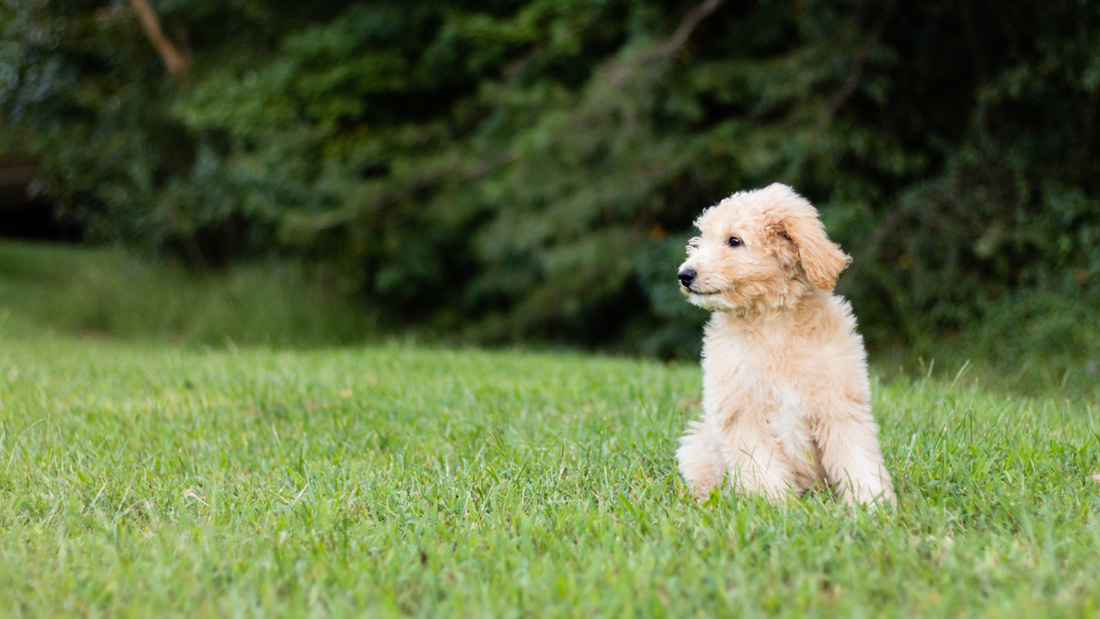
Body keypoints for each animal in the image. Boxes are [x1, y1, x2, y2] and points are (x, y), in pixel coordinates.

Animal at [673, 183, 897, 507]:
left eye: (734, 241)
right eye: (703, 239)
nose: (685, 275)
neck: (772, 323)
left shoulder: (838, 404)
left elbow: (856, 456)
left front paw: (872, 502)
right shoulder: (742, 413)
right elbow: (761, 465)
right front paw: (773, 505)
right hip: (698, 445)